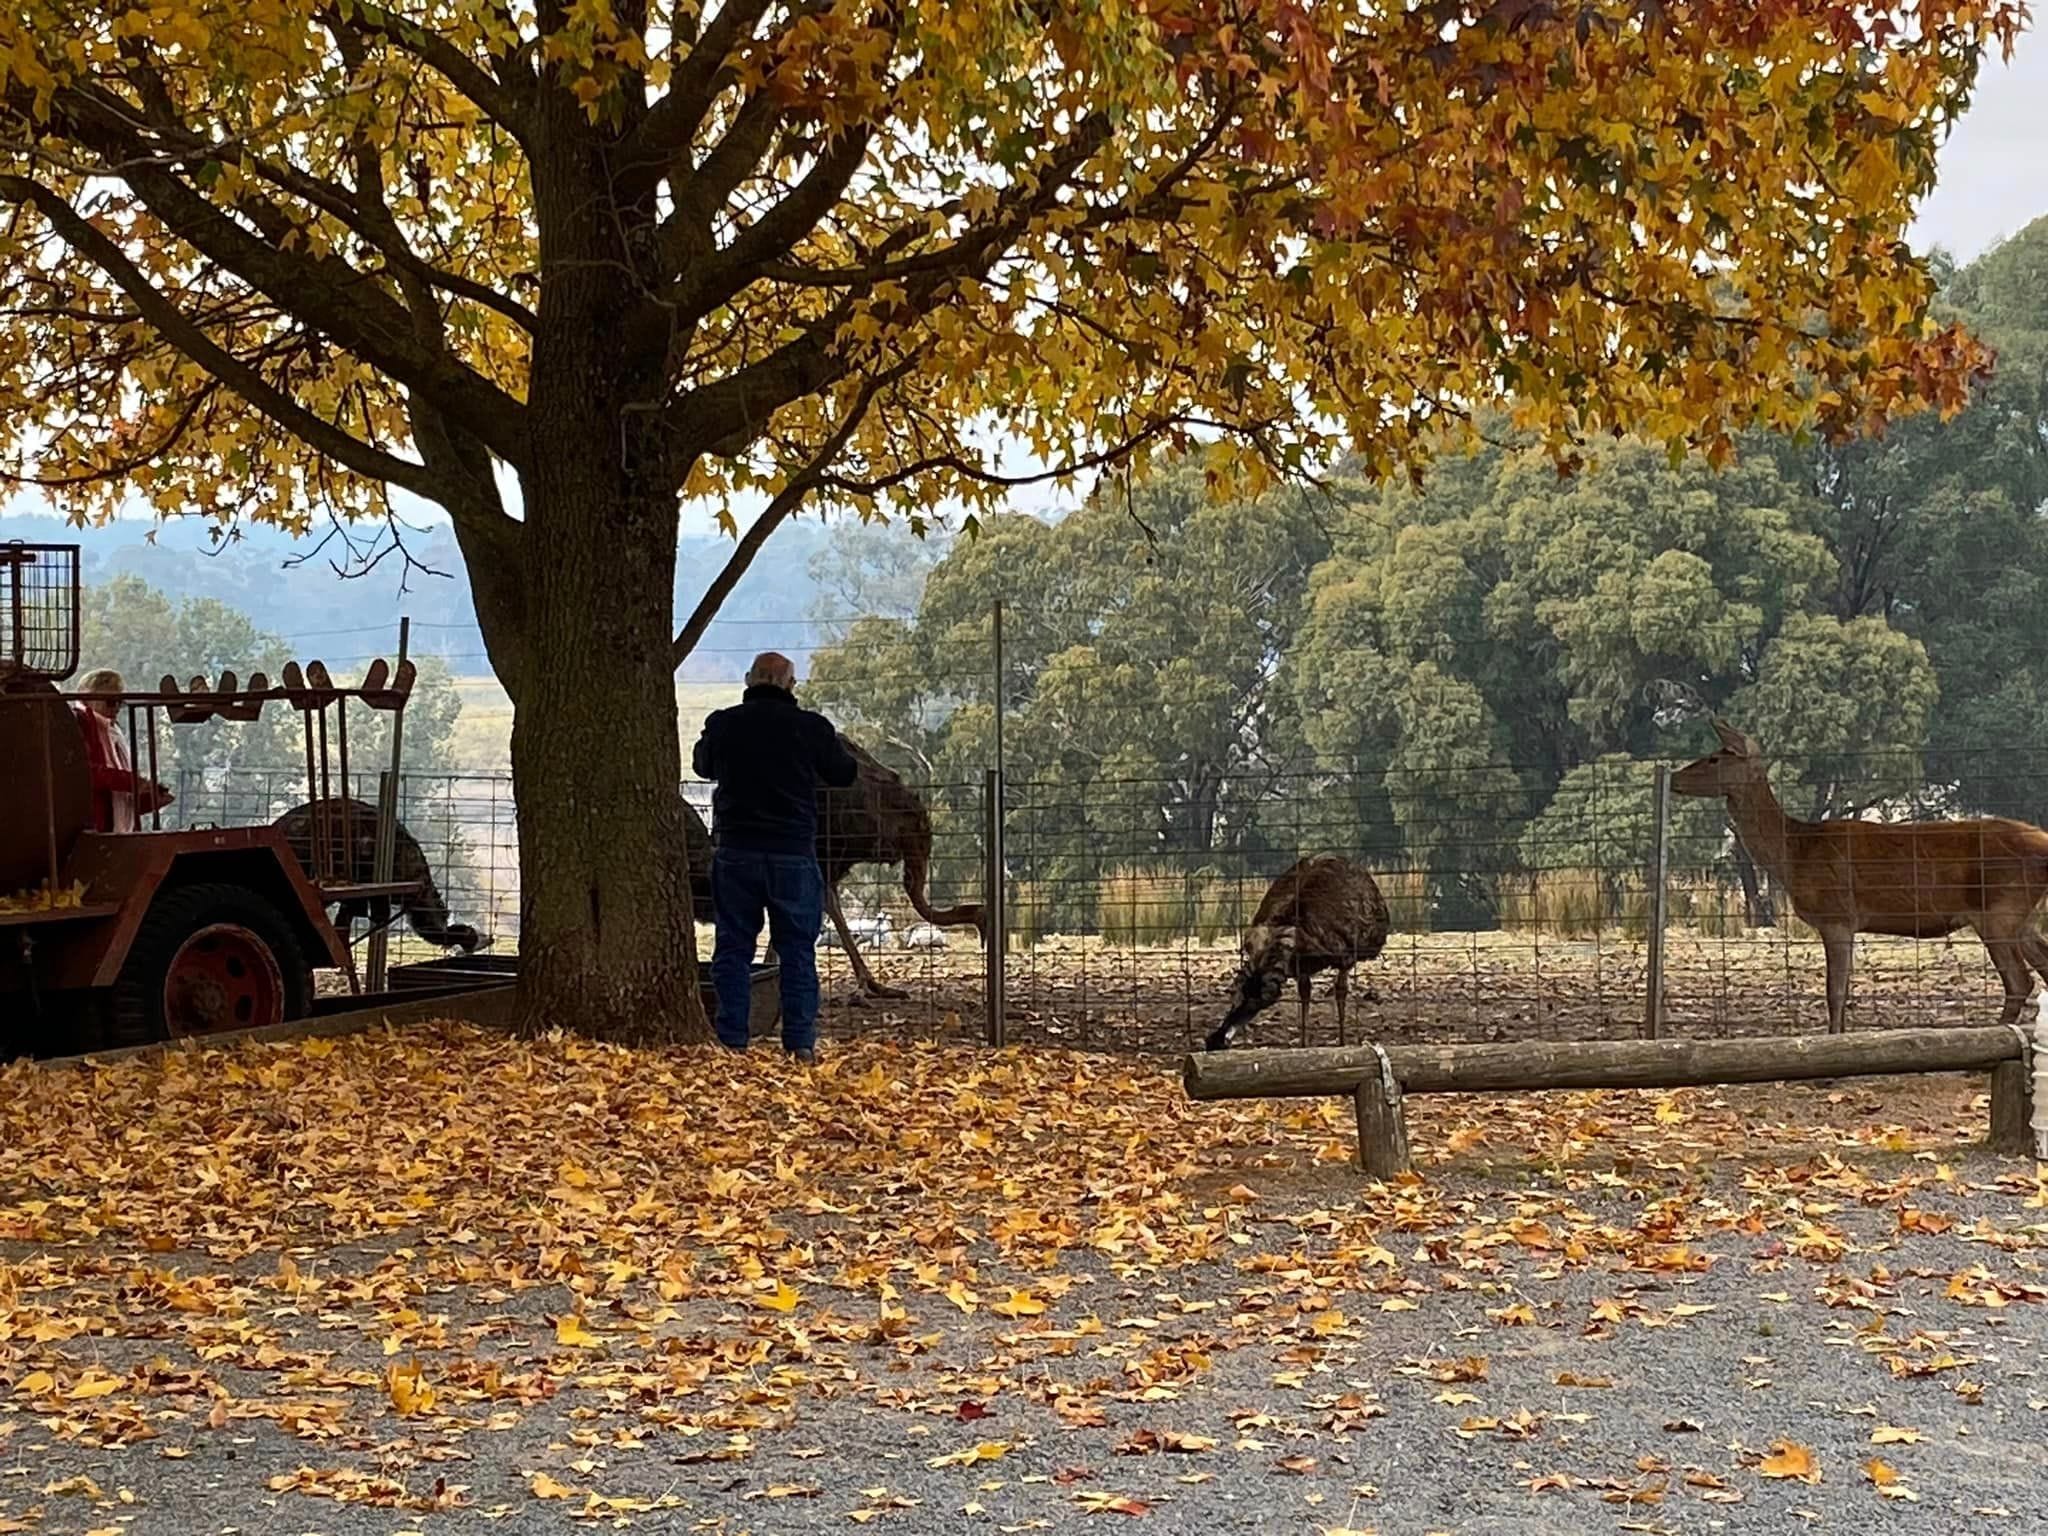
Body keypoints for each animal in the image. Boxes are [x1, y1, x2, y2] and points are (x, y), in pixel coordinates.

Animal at [1671, 720, 2048, 1036]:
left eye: (1714, 758)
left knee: (2019, 981)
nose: (1674, 777)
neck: (1794, 855)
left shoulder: (1836, 915)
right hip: (2022, 915)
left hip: (1999, 908)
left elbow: (1834, 992)